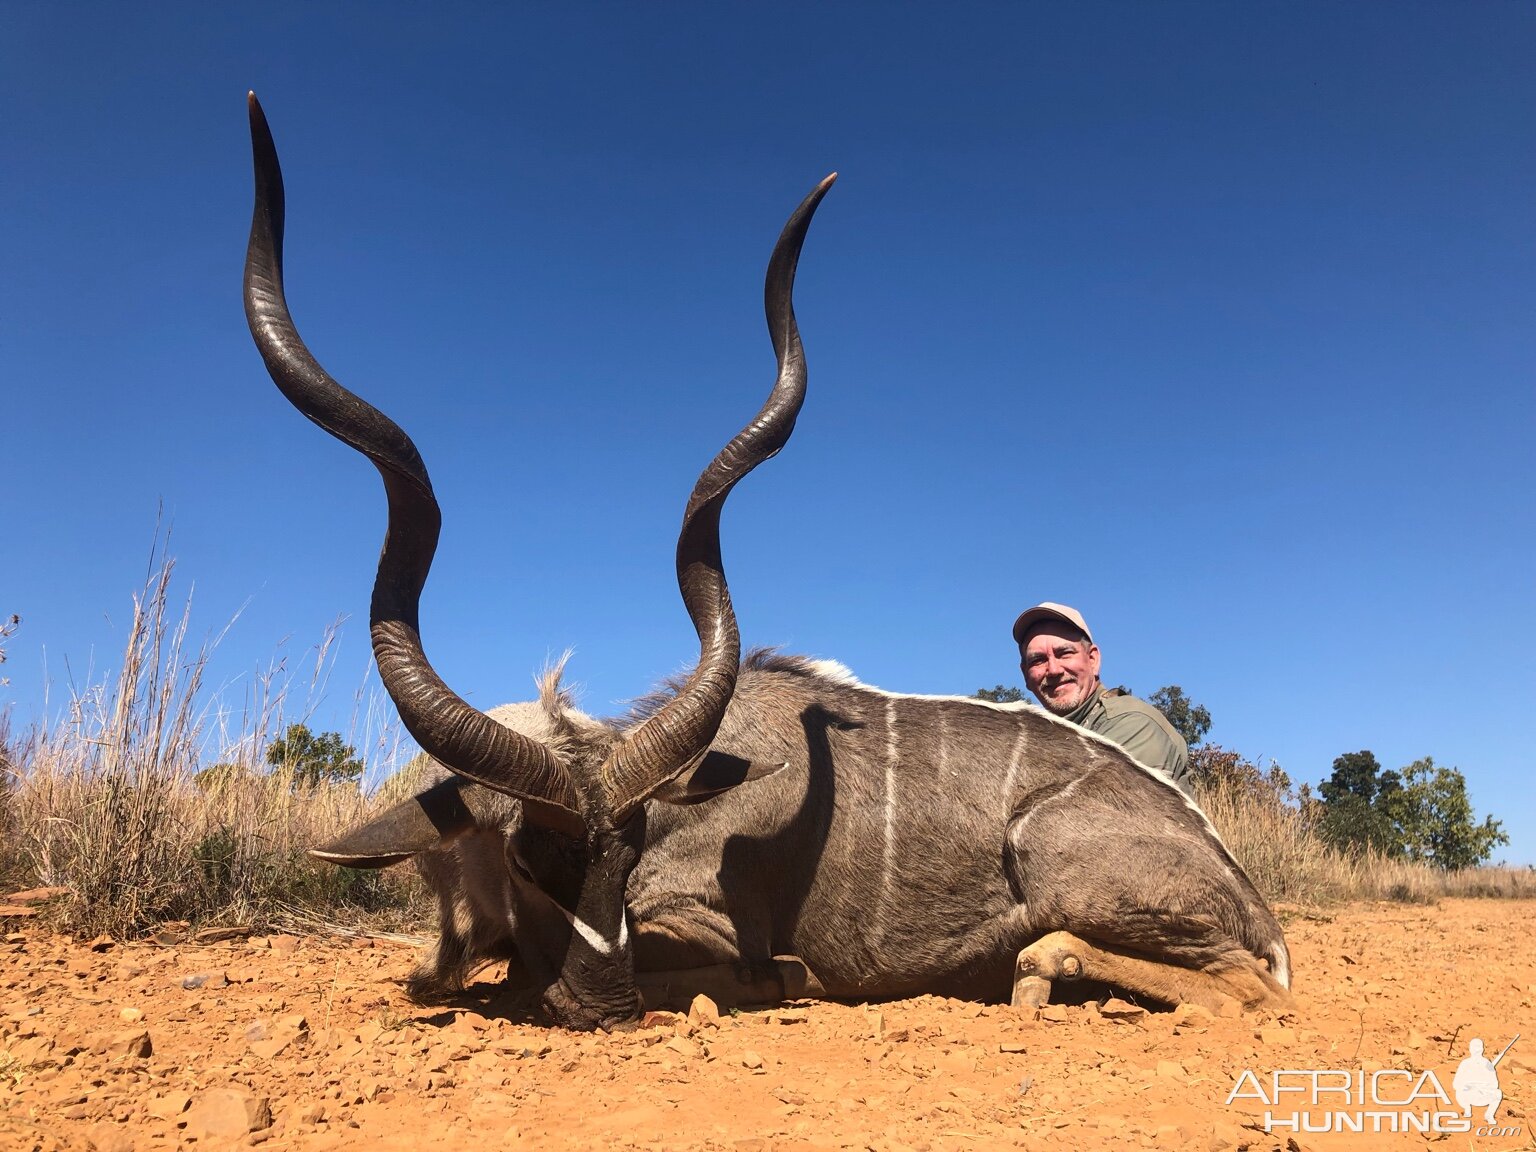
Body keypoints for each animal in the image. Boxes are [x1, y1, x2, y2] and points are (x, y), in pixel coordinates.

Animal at [245, 94, 1290, 1032]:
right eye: (531, 857)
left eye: (627, 852)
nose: (601, 1005)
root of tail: (1254, 904)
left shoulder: (709, 926)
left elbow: (734, 970)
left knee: (1242, 989)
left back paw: (1042, 971)